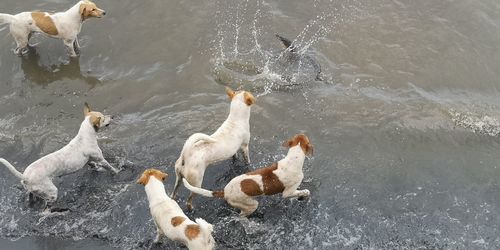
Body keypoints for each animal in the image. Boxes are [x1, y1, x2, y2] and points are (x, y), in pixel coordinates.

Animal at [180, 134, 312, 216]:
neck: (293, 159)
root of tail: (225, 191)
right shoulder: (287, 192)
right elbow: (302, 192)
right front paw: (304, 193)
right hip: (251, 205)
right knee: (241, 215)